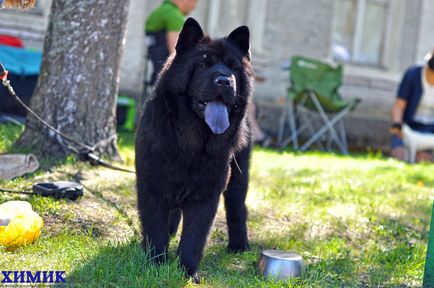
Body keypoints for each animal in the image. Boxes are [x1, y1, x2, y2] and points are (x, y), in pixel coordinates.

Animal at [135, 17, 251, 280]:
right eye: (203, 64)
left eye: (233, 67)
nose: (224, 80)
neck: (190, 145)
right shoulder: (151, 185)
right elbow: (155, 229)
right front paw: (155, 265)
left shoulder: (207, 194)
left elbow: (194, 237)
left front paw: (186, 272)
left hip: (238, 176)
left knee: (237, 208)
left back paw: (239, 246)